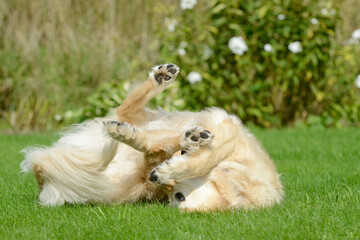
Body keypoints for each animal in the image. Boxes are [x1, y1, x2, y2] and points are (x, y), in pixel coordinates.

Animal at [21, 63, 282, 212]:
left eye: (176, 197)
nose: (154, 178)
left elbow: (161, 150)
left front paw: (172, 164)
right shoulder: (229, 131)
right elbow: (205, 156)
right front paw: (183, 158)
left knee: (137, 128)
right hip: (157, 117)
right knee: (129, 110)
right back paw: (162, 78)